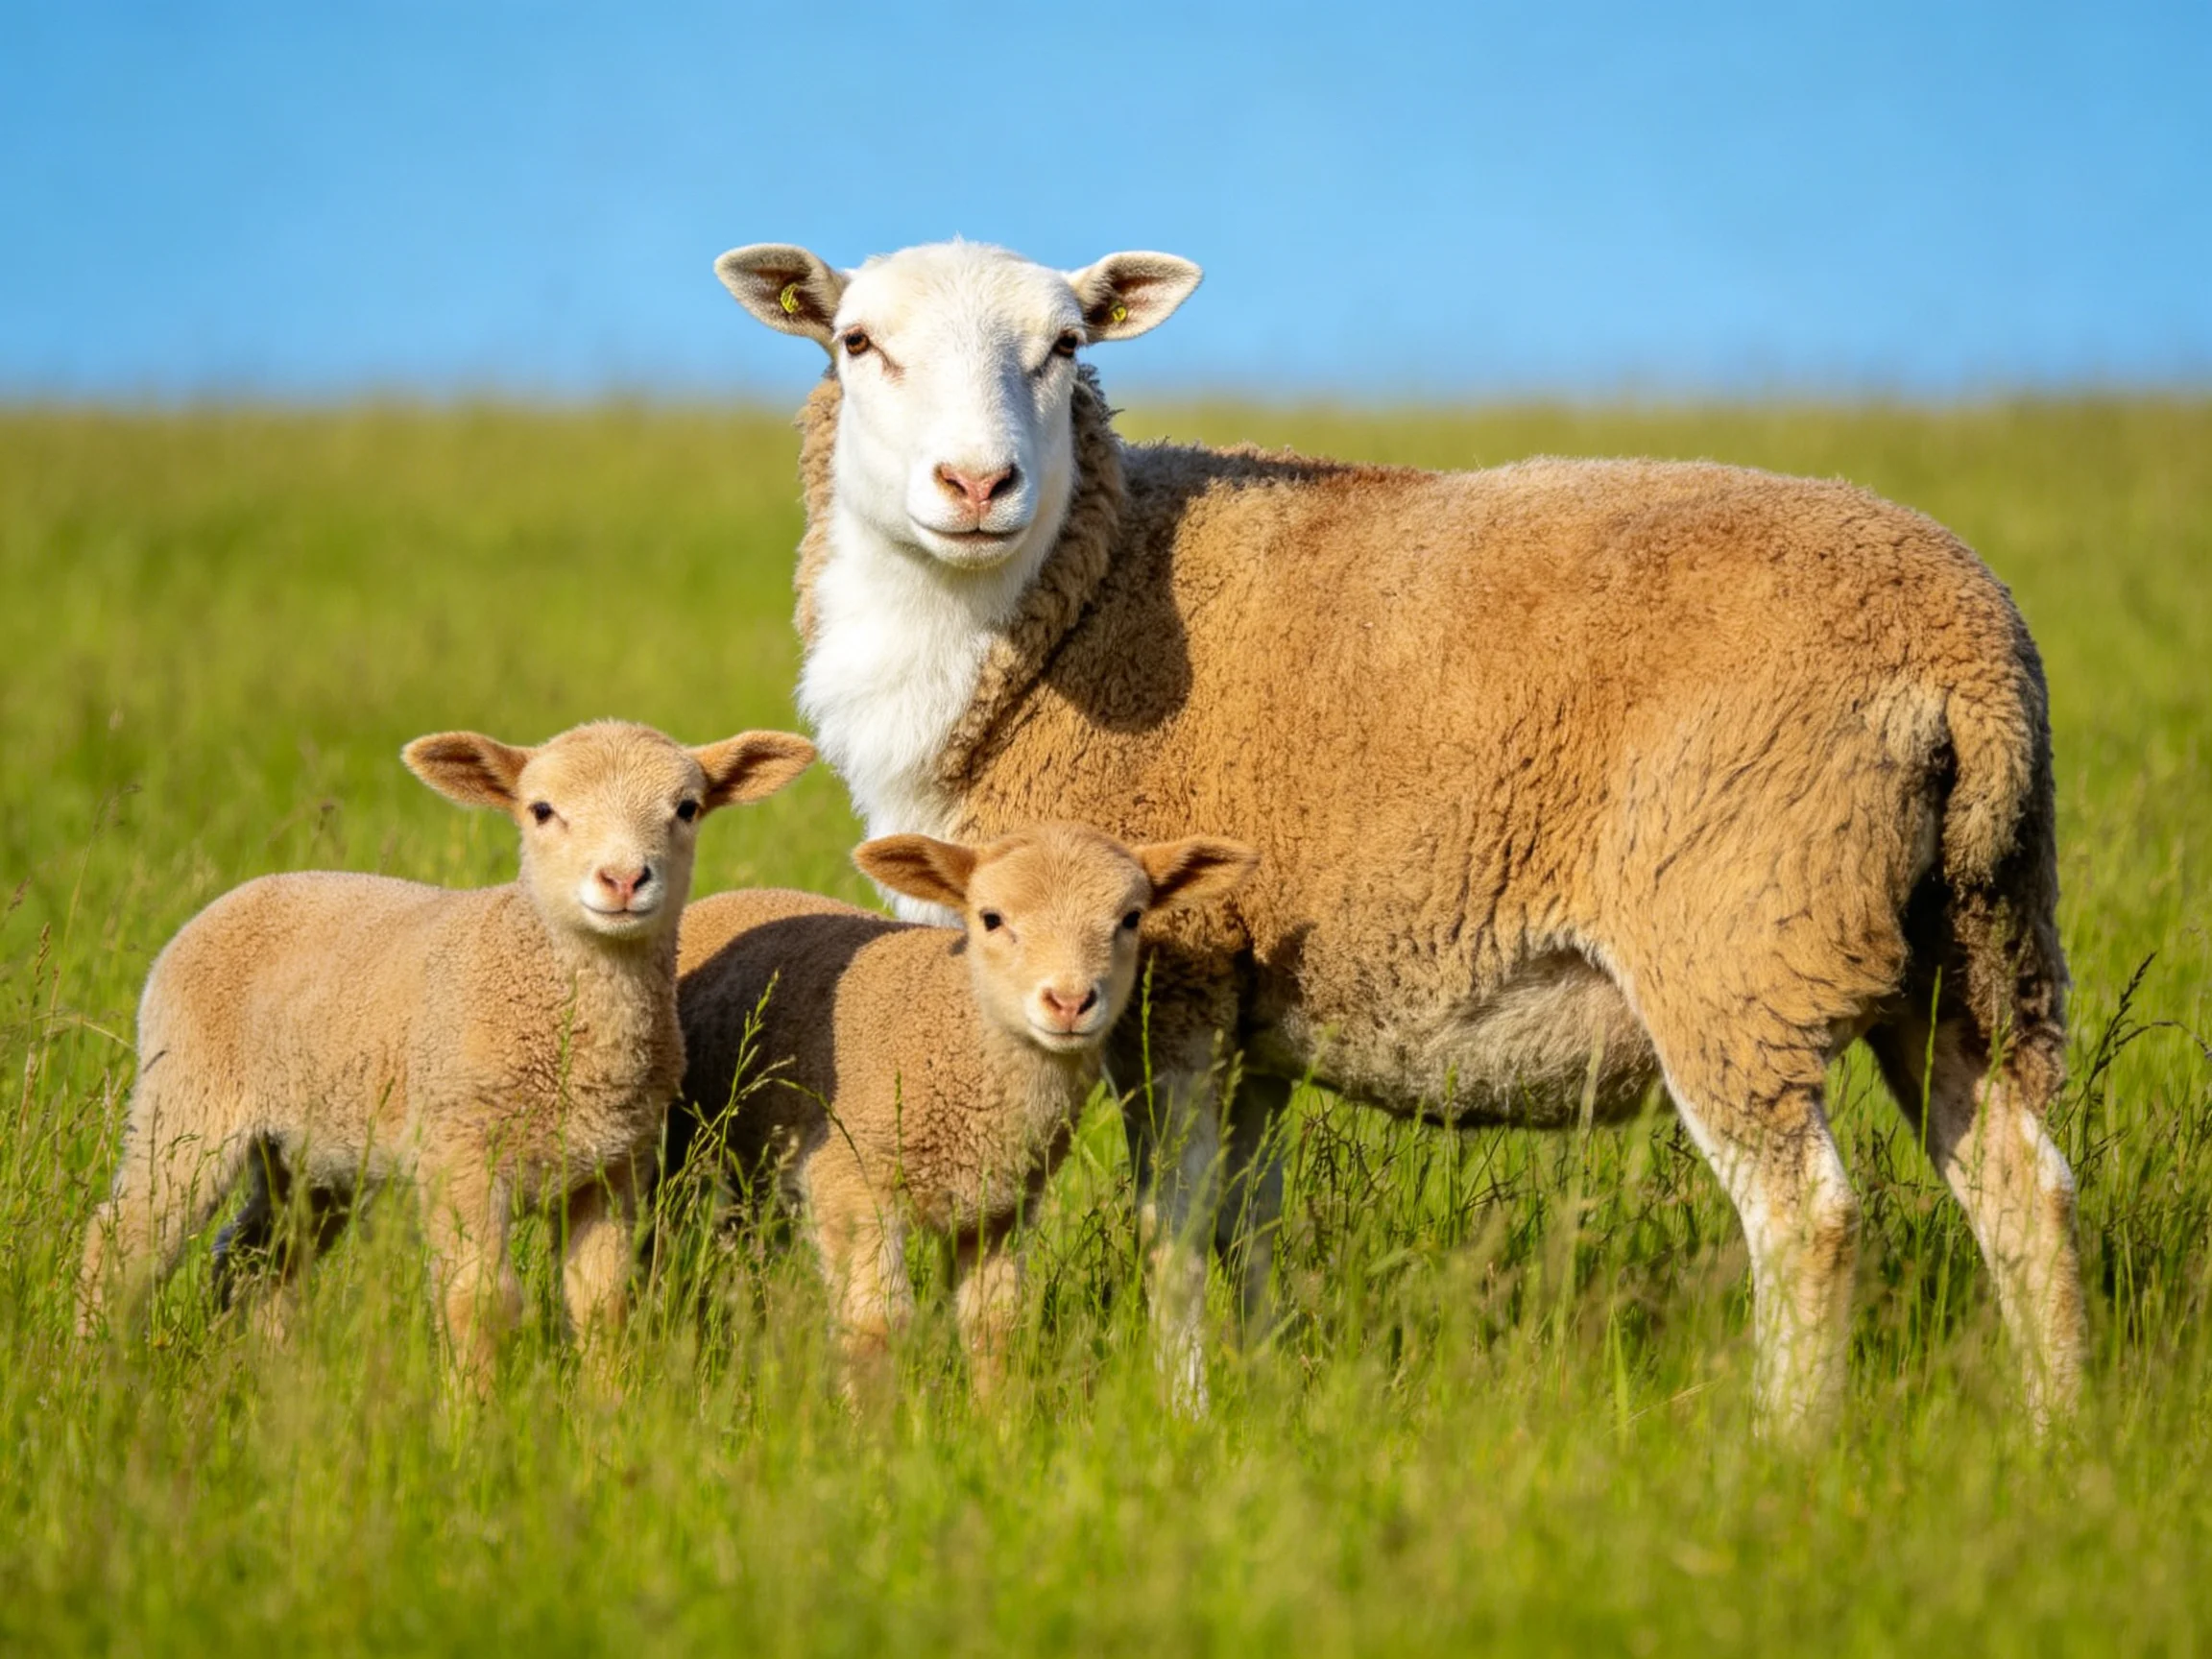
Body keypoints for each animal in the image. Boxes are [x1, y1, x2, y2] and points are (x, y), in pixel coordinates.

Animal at [76, 718, 817, 1389]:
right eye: (541, 810)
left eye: (686, 808)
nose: (624, 879)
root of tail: (246, 890)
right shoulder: (461, 1157)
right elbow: (481, 1305)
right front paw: (474, 1422)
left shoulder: (612, 1170)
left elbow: (603, 1305)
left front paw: (609, 1414)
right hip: (186, 1099)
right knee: (124, 1238)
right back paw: (91, 1374)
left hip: (308, 1151)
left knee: (259, 1258)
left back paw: (272, 1380)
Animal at [673, 823, 1256, 1397]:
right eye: (991, 918)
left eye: (1131, 918)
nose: (1069, 1003)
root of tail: (729, 897)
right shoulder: (851, 1184)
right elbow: (877, 1329)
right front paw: (876, 1423)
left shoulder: (998, 1211)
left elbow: (995, 1326)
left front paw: (995, 1416)